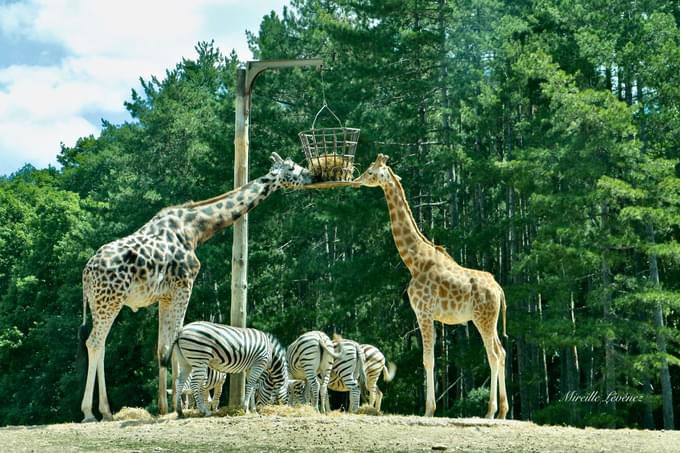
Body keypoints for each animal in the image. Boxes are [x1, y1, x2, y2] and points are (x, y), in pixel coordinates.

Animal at [79, 154, 310, 422]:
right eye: (292, 167)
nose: (310, 175)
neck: (196, 228)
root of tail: (86, 273)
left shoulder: (165, 296)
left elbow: (163, 349)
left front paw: (168, 405)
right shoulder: (184, 284)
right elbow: (173, 343)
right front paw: (181, 405)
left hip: (100, 303)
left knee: (102, 344)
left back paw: (107, 411)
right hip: (110, 300)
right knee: (94, 343)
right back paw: (90, 412)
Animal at [354, 154, 508, 418]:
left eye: (371, 172)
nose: (356, 180)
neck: (414, 261)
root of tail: (498, 289)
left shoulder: (423, 312)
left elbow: (428, 359)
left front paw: (428, 410)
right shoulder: (430, 315)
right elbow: (431, 358)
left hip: (483, 319)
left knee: (494, 354)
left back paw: (491, 411)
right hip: (491, 319)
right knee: (503, 351)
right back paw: (504, 411)